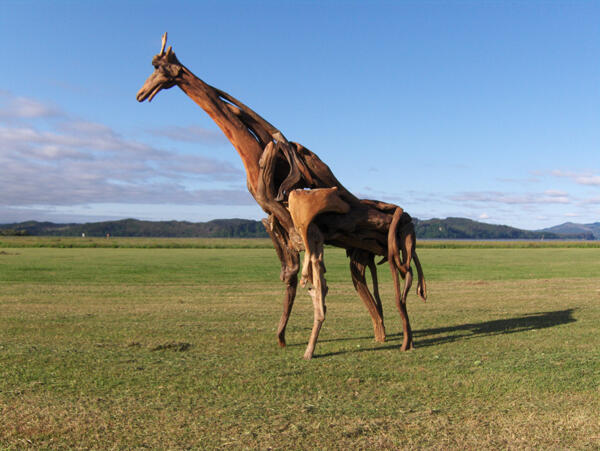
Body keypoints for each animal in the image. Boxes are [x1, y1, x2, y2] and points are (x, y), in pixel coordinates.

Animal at [136, 33, 426, 360]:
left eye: (159, 68)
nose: (140, 93)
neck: (255, 157)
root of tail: (407, 220)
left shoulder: (305, 223)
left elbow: (314, 283)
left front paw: (309, 349)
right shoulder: (280, 227)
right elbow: (291, 276)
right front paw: (282, 339)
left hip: (387, 245)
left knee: (400, 281)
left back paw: (404, 340)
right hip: (363, 253)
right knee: (378, 286)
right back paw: (388, 336)